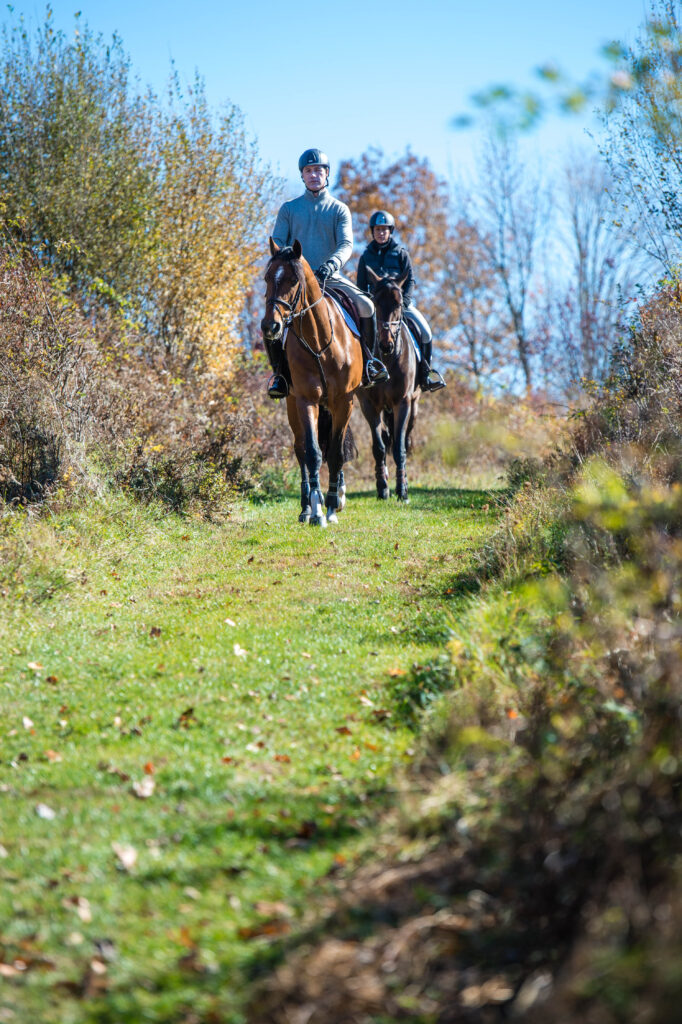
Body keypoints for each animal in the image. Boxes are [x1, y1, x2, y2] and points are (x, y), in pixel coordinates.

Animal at [261, 238, 362, 527]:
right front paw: (317, 510)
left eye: (294, 279)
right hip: (292, 404)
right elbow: (313, 453)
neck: (320, 343)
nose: (270, 326)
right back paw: (305, 508)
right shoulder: (307, 400)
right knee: (301, 450)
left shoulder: (344, 402)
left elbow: (336, 453)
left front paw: (332, 506)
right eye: (267, 278)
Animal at [358, 267, 420, 502]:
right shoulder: (368, 405)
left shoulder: (402, 402)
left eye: (400, 303)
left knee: (406, 439)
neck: (388, 360)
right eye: (375, 302)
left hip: (413, 406)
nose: (386, 344)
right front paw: (383, 488)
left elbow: (399, 447)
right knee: (385, 438)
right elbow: (379, 446)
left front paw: (402, 490)